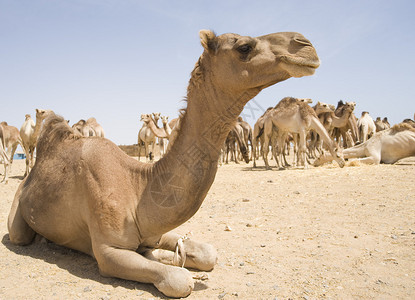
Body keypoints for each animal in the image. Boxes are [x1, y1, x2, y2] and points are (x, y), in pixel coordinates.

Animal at [8, 28, 322, 298]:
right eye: (244, 47)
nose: (306, 44)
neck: (138, 186)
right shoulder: (108, 251)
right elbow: (179, 280)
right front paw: (170, 264)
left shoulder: (155, 230)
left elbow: (207, 253)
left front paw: (166, 255)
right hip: (19, 218)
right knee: (20, 234)